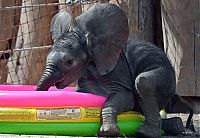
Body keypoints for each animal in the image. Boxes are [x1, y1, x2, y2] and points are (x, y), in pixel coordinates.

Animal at [36, 2, 180, 137]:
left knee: (143, 82)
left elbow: (124, 96)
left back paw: (146, 132)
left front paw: (107, 131)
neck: (85, 39)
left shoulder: (116, 67)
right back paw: (175, 126)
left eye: (69, 62)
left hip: (166, 75)